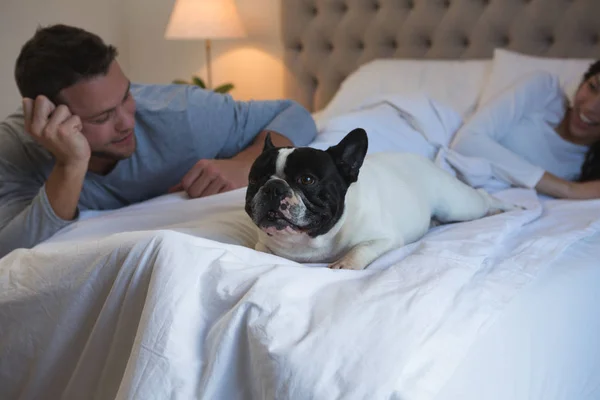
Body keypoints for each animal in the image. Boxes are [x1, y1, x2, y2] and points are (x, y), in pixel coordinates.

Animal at [244, 130, 520, 270]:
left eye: (307, 180)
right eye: (255, 179)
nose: (273, 188)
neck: (313, 240)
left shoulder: (385, 239)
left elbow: (361, 249)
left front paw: (345, 265)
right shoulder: (263, 244)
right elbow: (261, 251)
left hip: (459, 206)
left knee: (484, 197)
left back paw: (511, 207)